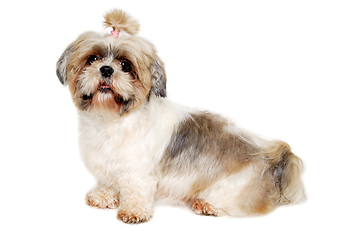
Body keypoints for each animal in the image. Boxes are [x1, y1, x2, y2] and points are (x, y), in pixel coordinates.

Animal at [55, 8, 304, 223]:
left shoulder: (137, 170)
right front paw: (104, 195)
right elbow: (109, 181)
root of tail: (272, 159)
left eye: (125, 65)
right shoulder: (107, 163)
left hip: (233, 186)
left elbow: (136, 189)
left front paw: (133, 211)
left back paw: (207, 205)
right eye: (92, 59)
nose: (106, 69)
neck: (113, 120)